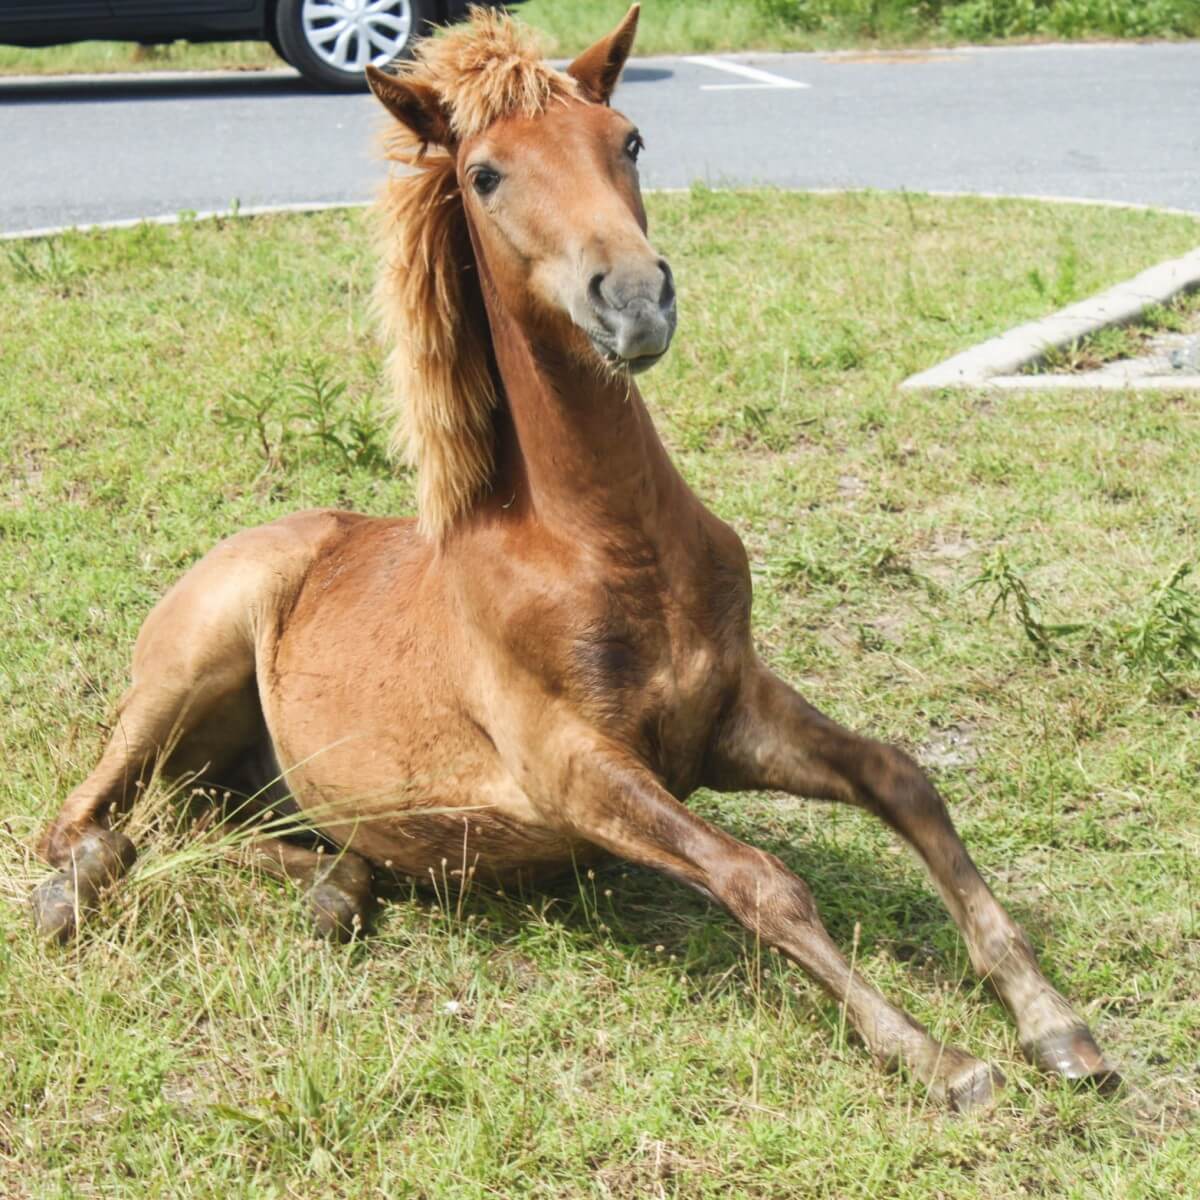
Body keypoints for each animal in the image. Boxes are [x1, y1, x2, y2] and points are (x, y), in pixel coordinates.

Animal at [29, 6, 1118, 1111]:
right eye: (484, 174)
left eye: (627, 141)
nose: (634, 299)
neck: (607, 545)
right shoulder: (571, 767)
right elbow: (761, 879)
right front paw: (936, 1056)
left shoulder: (724, 717)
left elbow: (902, 779)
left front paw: (1055, 1023)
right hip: (188, 665)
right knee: (87, 822)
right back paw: (68, 895)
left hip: (251, 783)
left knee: (219, 831)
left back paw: (338, 891)